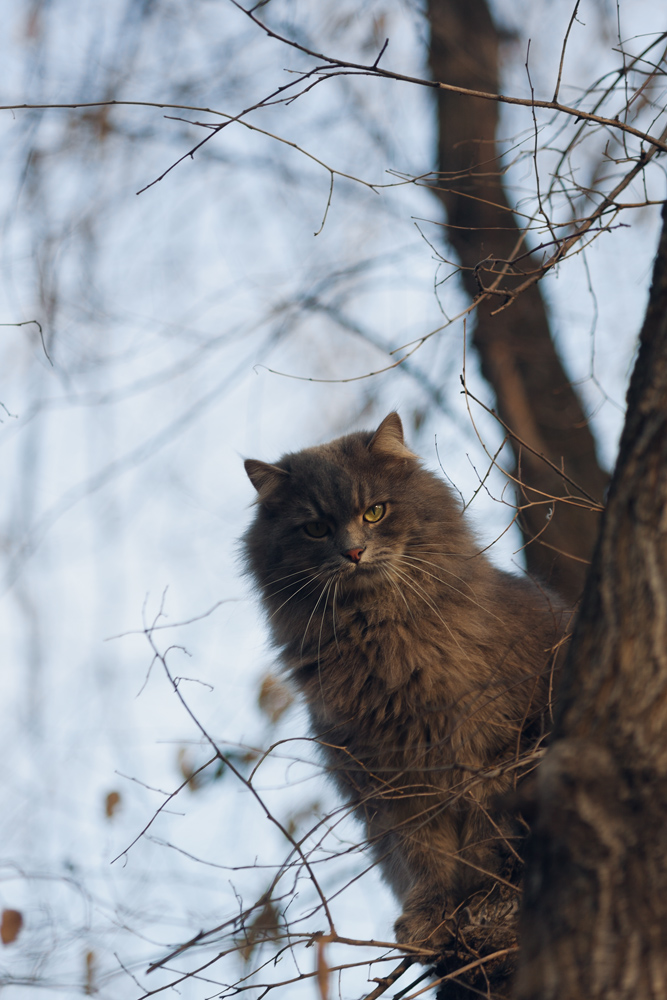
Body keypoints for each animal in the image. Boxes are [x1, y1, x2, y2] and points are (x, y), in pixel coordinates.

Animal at [245, 410, 568, 964]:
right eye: (315, 528)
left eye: (375, 511)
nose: (354, 551)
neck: (381, 644)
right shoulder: (391, 781)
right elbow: (424, 855)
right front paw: (429, 917)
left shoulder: (492, 752)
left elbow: (486, 834)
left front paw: (483, 897)